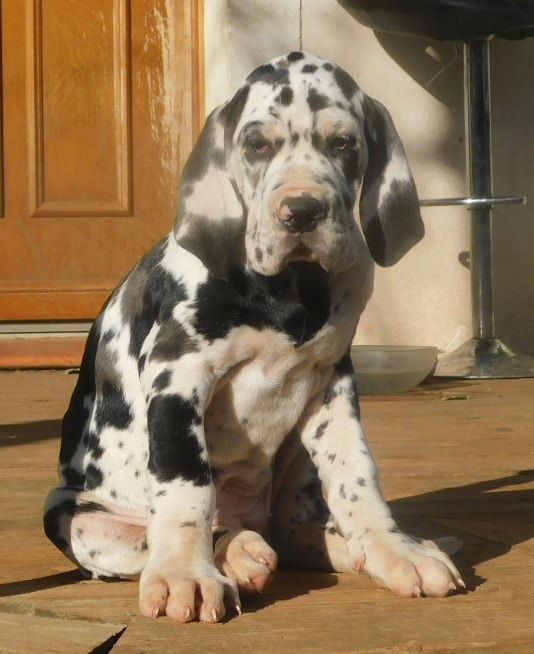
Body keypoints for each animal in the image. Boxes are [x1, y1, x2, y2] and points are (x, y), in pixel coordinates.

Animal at [44, 52, 464, 623]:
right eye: (258, 145)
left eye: (343, 144)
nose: (302, 211)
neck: (288, 288)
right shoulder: (177, 377)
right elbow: (186, 489)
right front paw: (185, 575)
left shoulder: (332, 383)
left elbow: (356, 474)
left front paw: (392, 548)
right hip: (75, 516)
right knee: (179, 531)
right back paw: (235, 553)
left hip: (297, 457)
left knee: (293, 532)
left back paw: (333, 548)